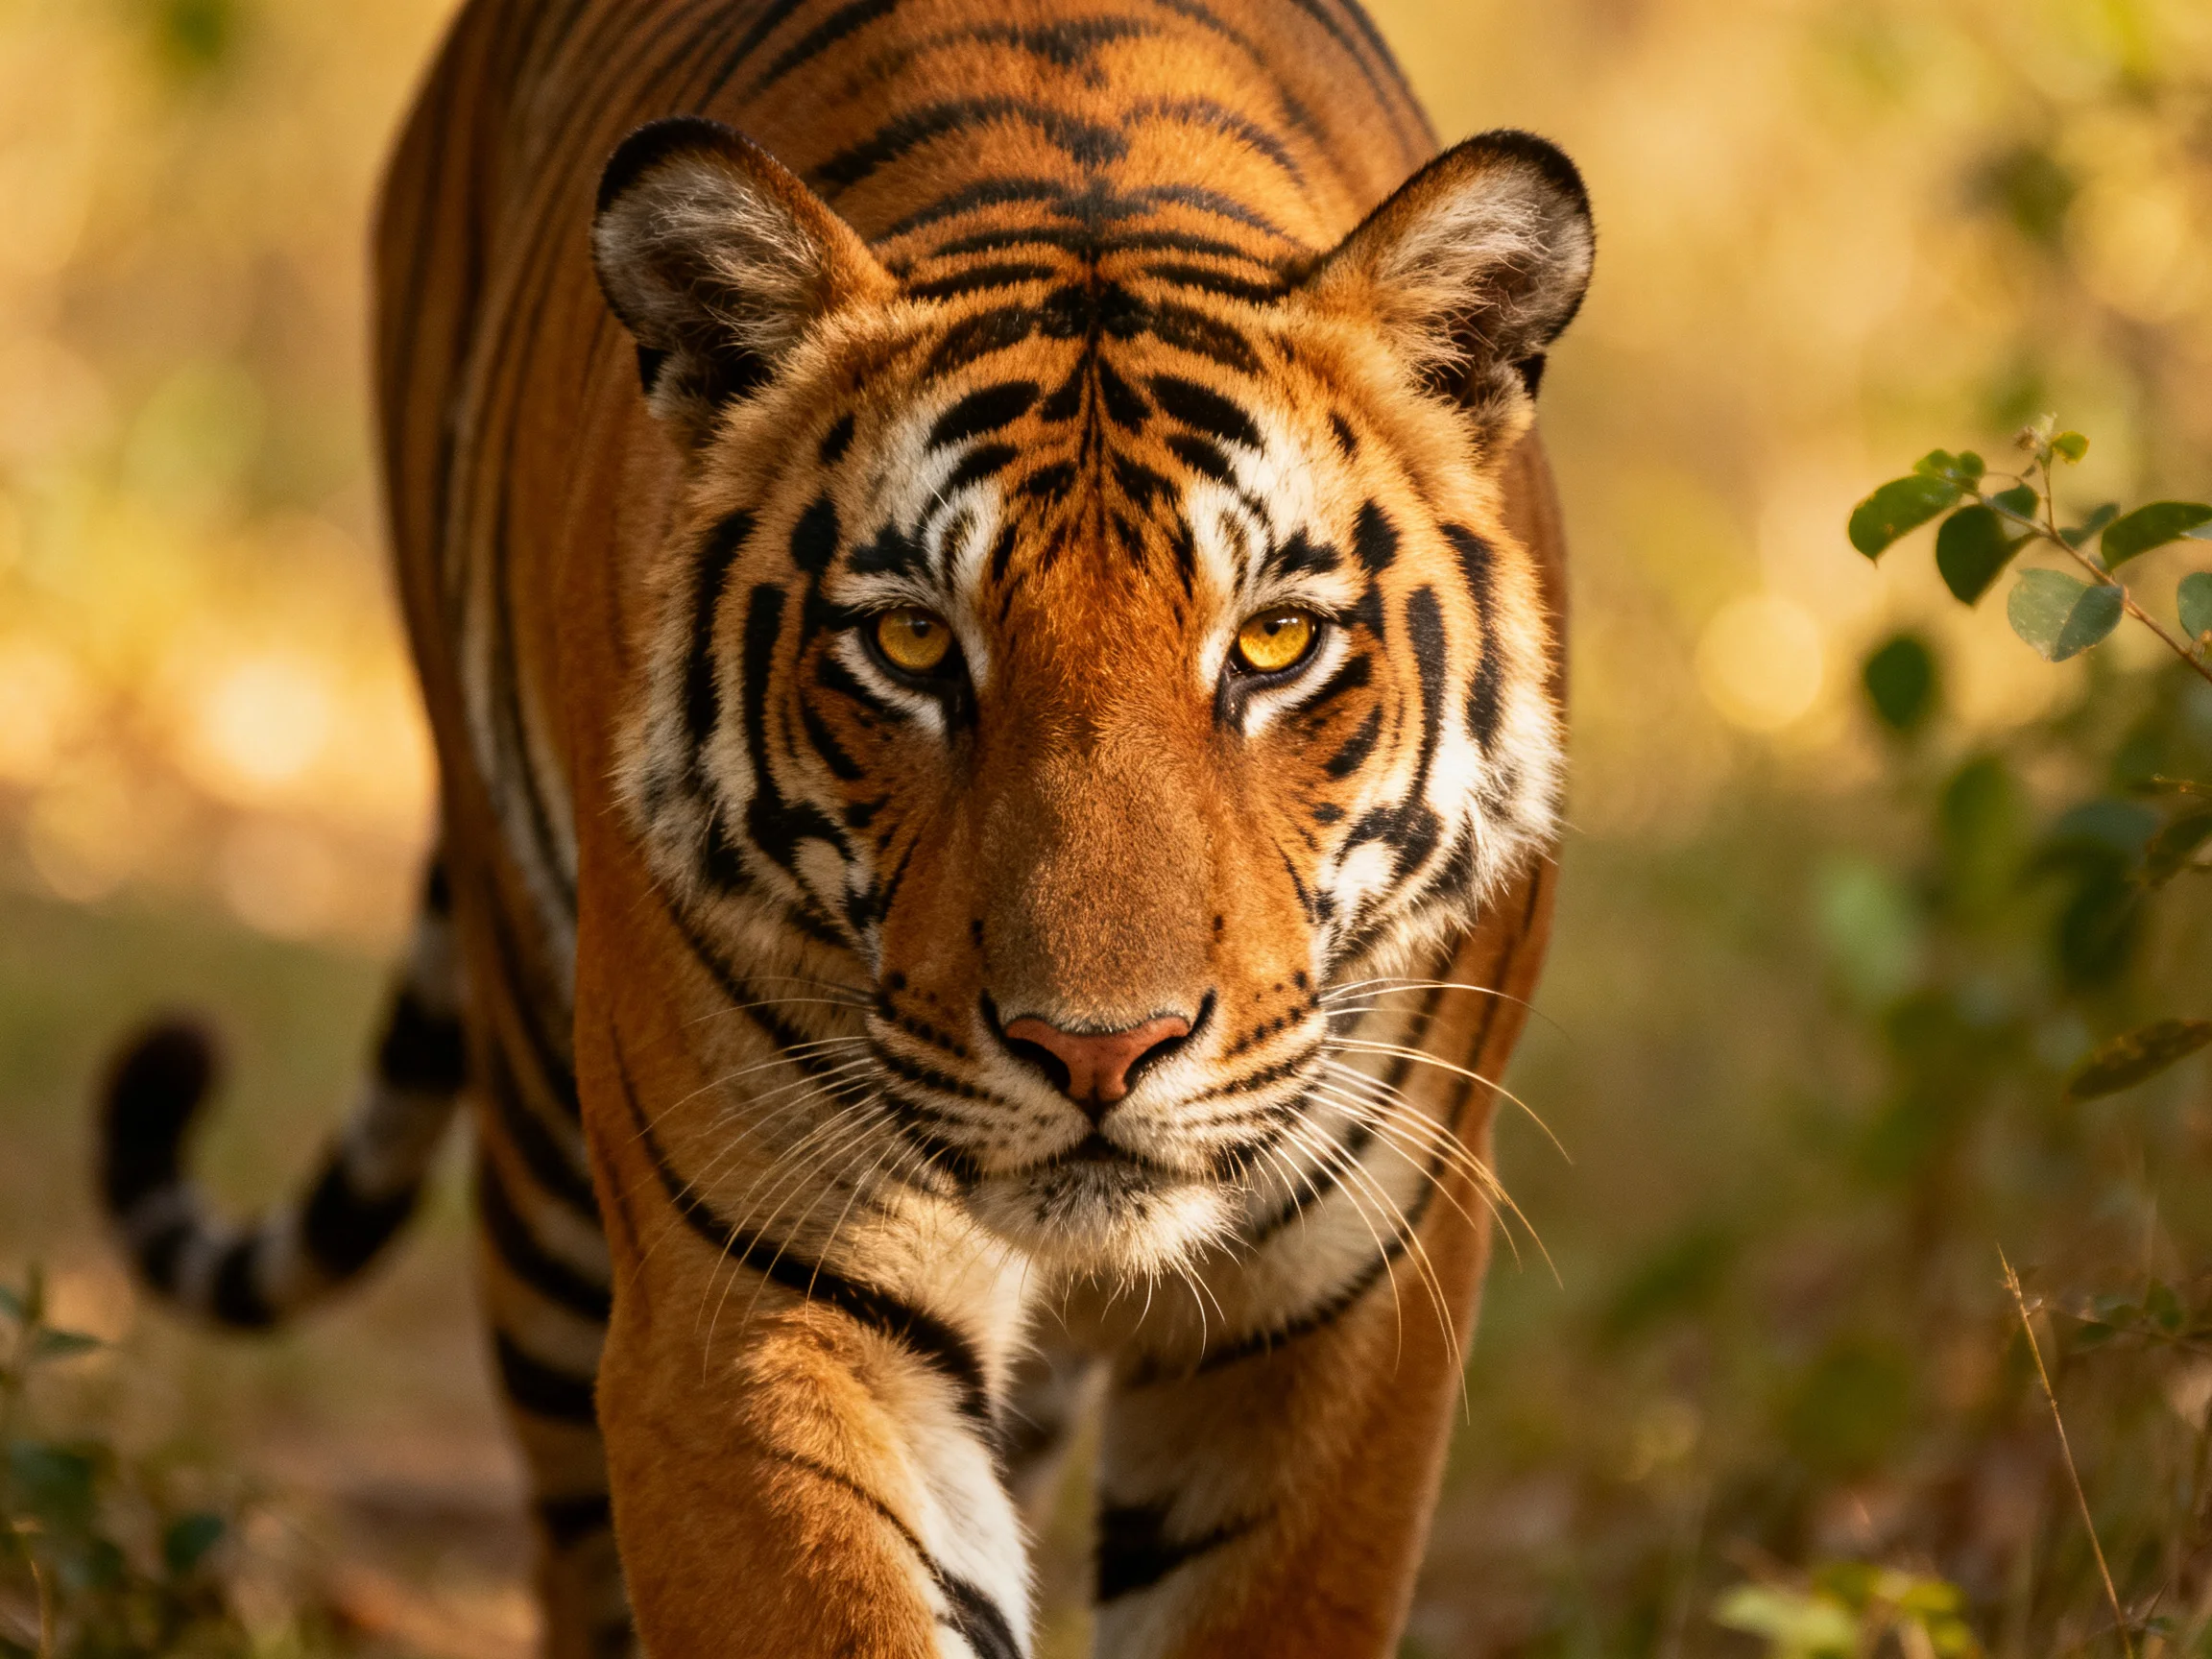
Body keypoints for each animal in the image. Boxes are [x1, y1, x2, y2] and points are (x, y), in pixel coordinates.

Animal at [94, 0, 1592, 1653]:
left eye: (1271, 644)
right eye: (915, 645)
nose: (1097, 1054)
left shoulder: (1344, 1307)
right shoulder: (760, 1295)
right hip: (541, 1152)